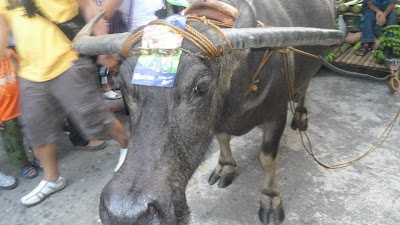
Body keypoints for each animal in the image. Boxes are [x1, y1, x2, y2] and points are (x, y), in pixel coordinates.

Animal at [72, 0, 340, 224]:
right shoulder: (218, 120)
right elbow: (222, 138)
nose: (125, 213)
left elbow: (267, 158)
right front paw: (225, 167)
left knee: (304, 87)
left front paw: (270, 198)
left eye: (201, 87)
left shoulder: (276, 116)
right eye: (122, 85)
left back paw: (301, 115)